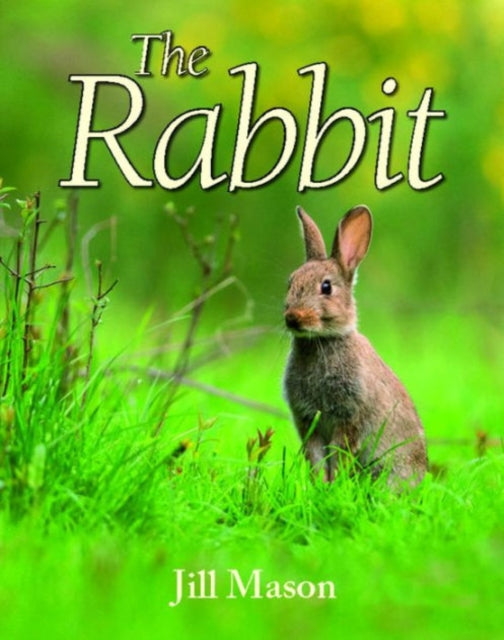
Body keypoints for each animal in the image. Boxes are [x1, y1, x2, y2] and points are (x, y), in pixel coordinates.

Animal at [283, 205, 427, 485]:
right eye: (290, 282)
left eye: (326, 287)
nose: (293, 317)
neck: (323, 340)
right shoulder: (308, 420)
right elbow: (316, 458)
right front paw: (320, 486)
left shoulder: (349, 417)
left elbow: (339, 454)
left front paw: (332, 486)